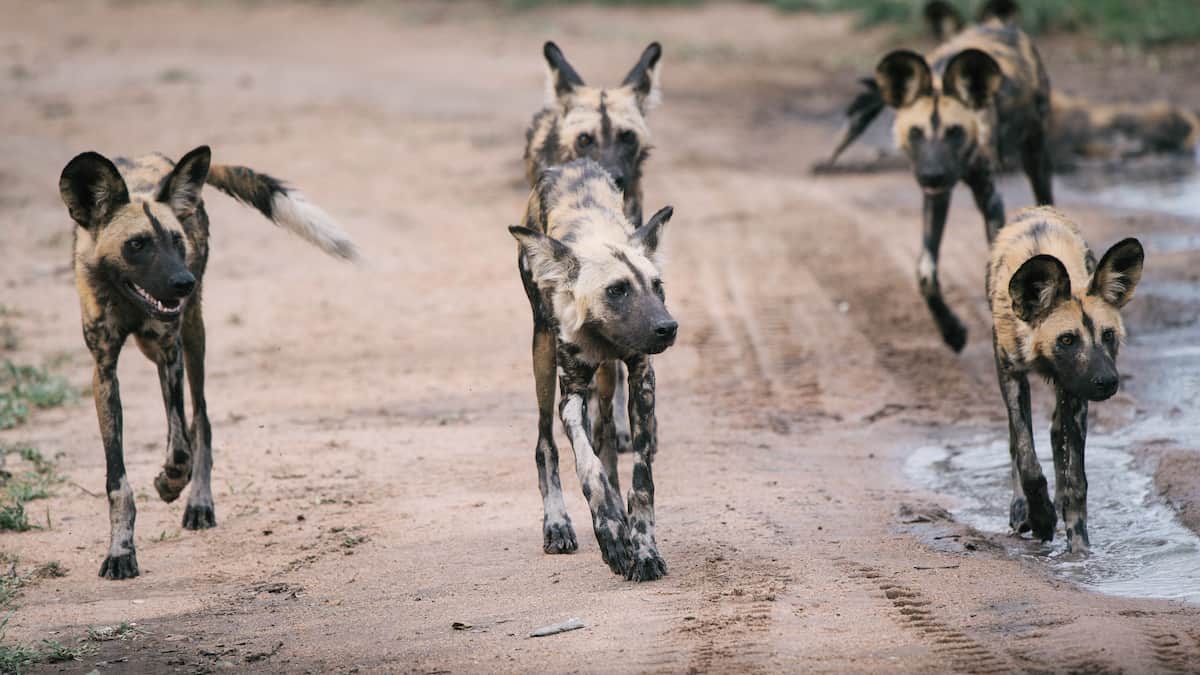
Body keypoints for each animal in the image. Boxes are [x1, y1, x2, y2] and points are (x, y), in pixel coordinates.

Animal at [835, 1, 1051, 353]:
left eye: (954, 131)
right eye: (916, 132)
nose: (932, 175)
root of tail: (997, 23)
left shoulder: (989, 197)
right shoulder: (936, 197)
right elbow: (925, 272)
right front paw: (952, 332)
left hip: (1036, 154)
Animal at [984, 206, 1142, 552]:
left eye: (1108, 335)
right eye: (1067, 340)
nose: (1107, 381)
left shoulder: (1076, 390)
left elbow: (1076, 481)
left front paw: (1079, 546)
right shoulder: (1012, 376)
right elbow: (1027, 458)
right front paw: (1041, 517)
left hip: (1069, 388)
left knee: (1057, 434)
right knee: (1017, 442)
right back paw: (1023, 509)